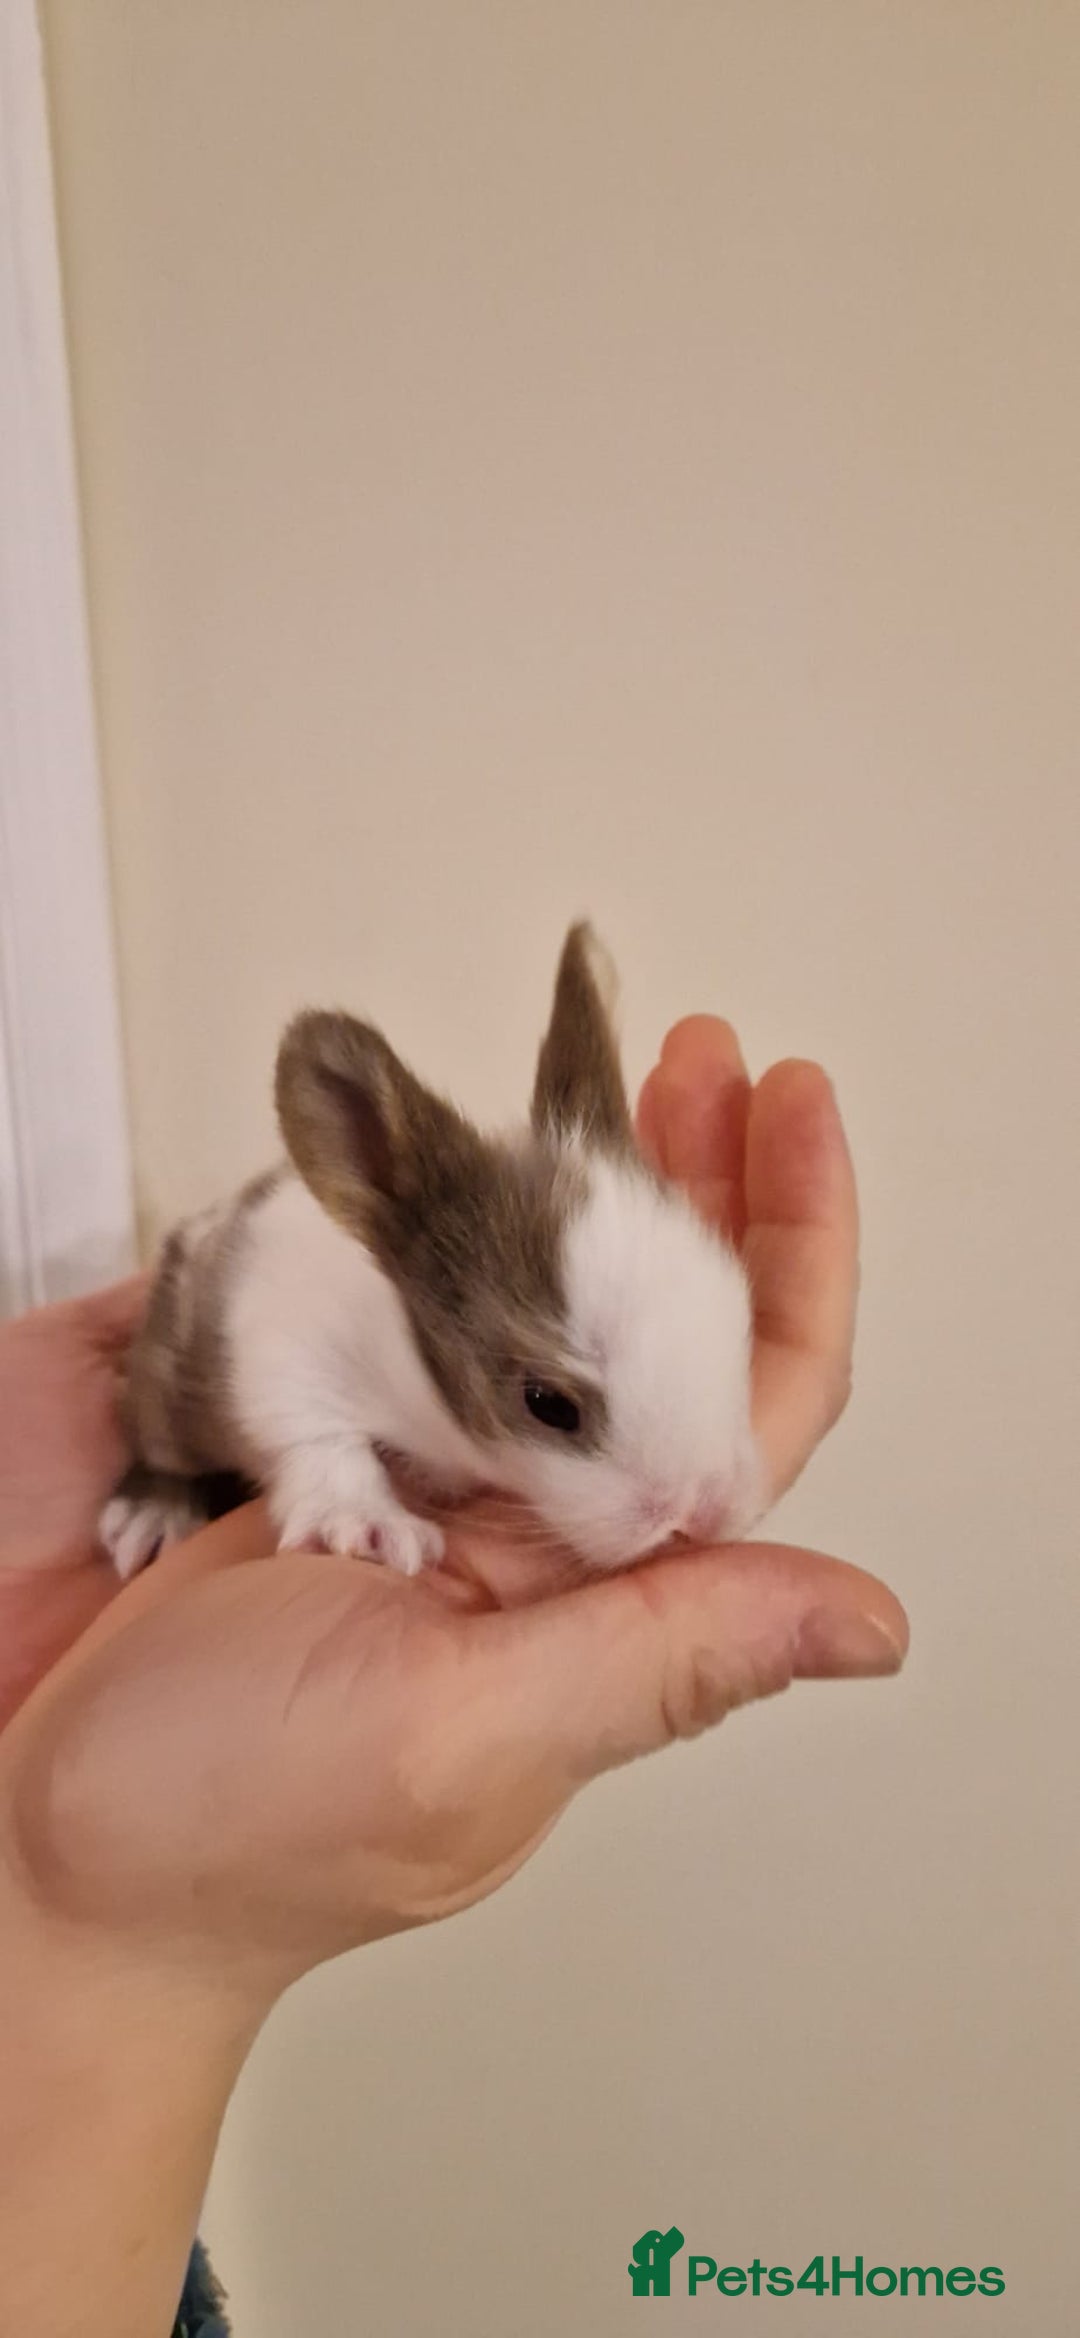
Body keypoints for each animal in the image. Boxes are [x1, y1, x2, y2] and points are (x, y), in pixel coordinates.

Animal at [100, 923, 765, 1582]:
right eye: (548, 1404)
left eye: (736, 1310)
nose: (703, 1511)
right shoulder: (281, 1363)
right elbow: (323, 1446)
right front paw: (370, 1529)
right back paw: (152, 1517)